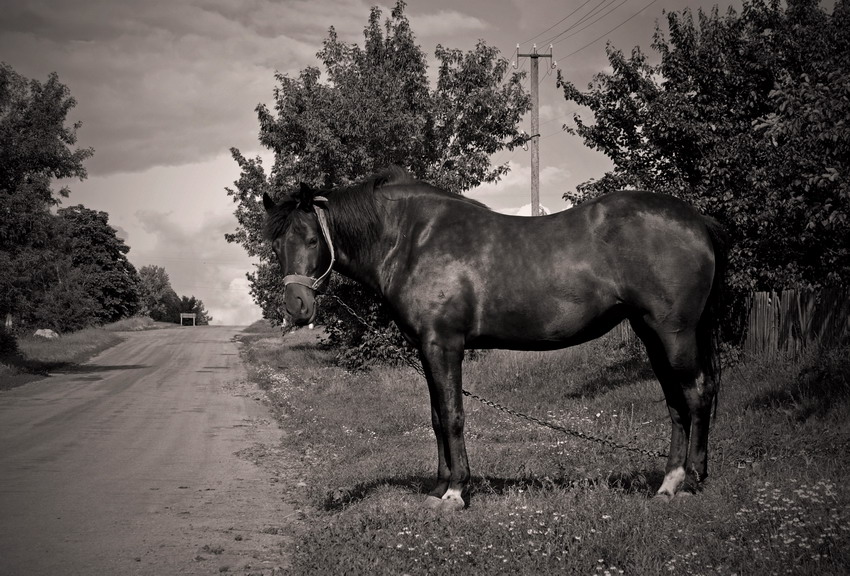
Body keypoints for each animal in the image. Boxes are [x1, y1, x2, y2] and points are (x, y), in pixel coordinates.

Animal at [262, 169, 724, 510]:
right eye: (275, 245)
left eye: (312, 239)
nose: (297, 307)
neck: (413, 238)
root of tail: (697, 221)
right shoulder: (427, 349)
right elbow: (436, 418)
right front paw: (438, 488)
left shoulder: (444, 345)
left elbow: (452, 416)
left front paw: (455, 493)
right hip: (651, 334)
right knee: (675, 403)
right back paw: (667, 484)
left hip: (673, 333)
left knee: (696, 393)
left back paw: (692, 481)